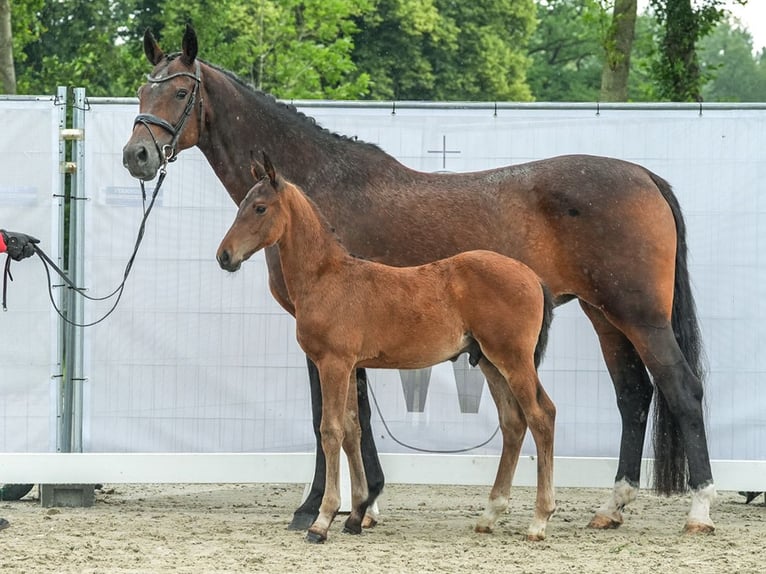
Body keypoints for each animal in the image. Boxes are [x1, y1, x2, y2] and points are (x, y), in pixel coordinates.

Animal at [216, 154, 560, 544]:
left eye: (259, 207)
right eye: (242, 204)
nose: (224, 256)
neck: (327, 277)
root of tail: (533, 277)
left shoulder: (333, 364)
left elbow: (330, 430)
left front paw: (323, 520)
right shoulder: (351, 366)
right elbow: (352, 430)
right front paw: (355, 516)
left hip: (514, 360)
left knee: (541, 416)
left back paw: (539, 520)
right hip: (489, 362)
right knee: (513, 423)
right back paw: (489, 514)